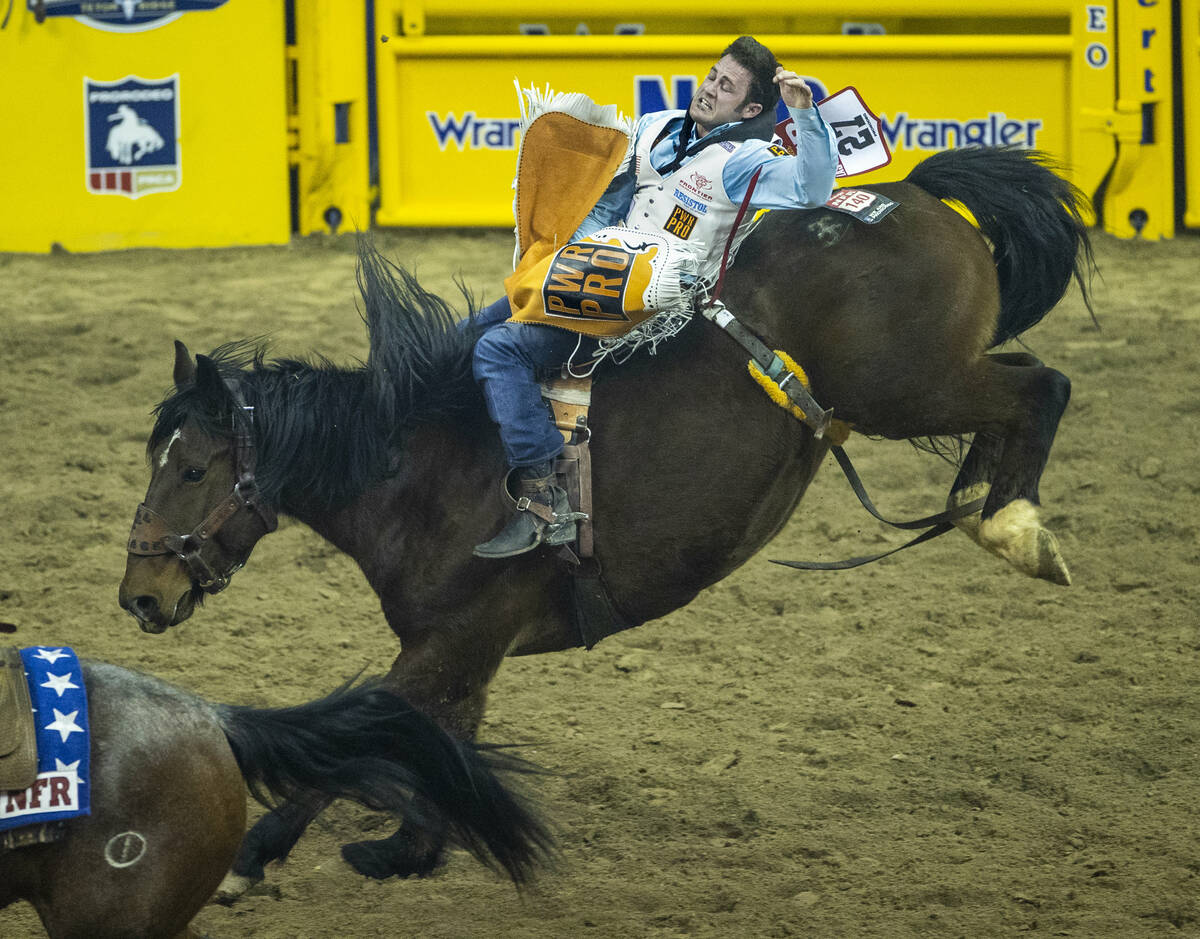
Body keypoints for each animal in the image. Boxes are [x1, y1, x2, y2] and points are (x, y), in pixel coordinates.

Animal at [117, 147, 1094, 888]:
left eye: (195, 468)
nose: (139, 594)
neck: (427, 473)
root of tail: (914, 191)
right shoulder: (458, 656)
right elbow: (431, 750)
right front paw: (410, 848)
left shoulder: (453, 642)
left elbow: (367, 739)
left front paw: (255, 853)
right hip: (929, 380)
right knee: (1019, 391)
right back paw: (984, 510)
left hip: (907, 386)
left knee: (1042, 386)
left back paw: (1013, 527)